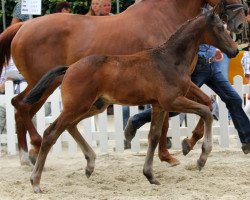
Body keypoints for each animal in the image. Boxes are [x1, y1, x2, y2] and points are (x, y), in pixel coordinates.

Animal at [0, 0, 247, 166]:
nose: (241, 25)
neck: (166, 16)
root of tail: (22, 27)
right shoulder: (169, 87)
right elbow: (169, 120)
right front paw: (166, 155)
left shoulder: (183, 83)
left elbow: (207, 102)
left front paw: (187, 143)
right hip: (42, 83)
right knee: (21, 106)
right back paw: (33, 147)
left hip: (45, 86)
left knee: (22, 108)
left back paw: (28, 154)